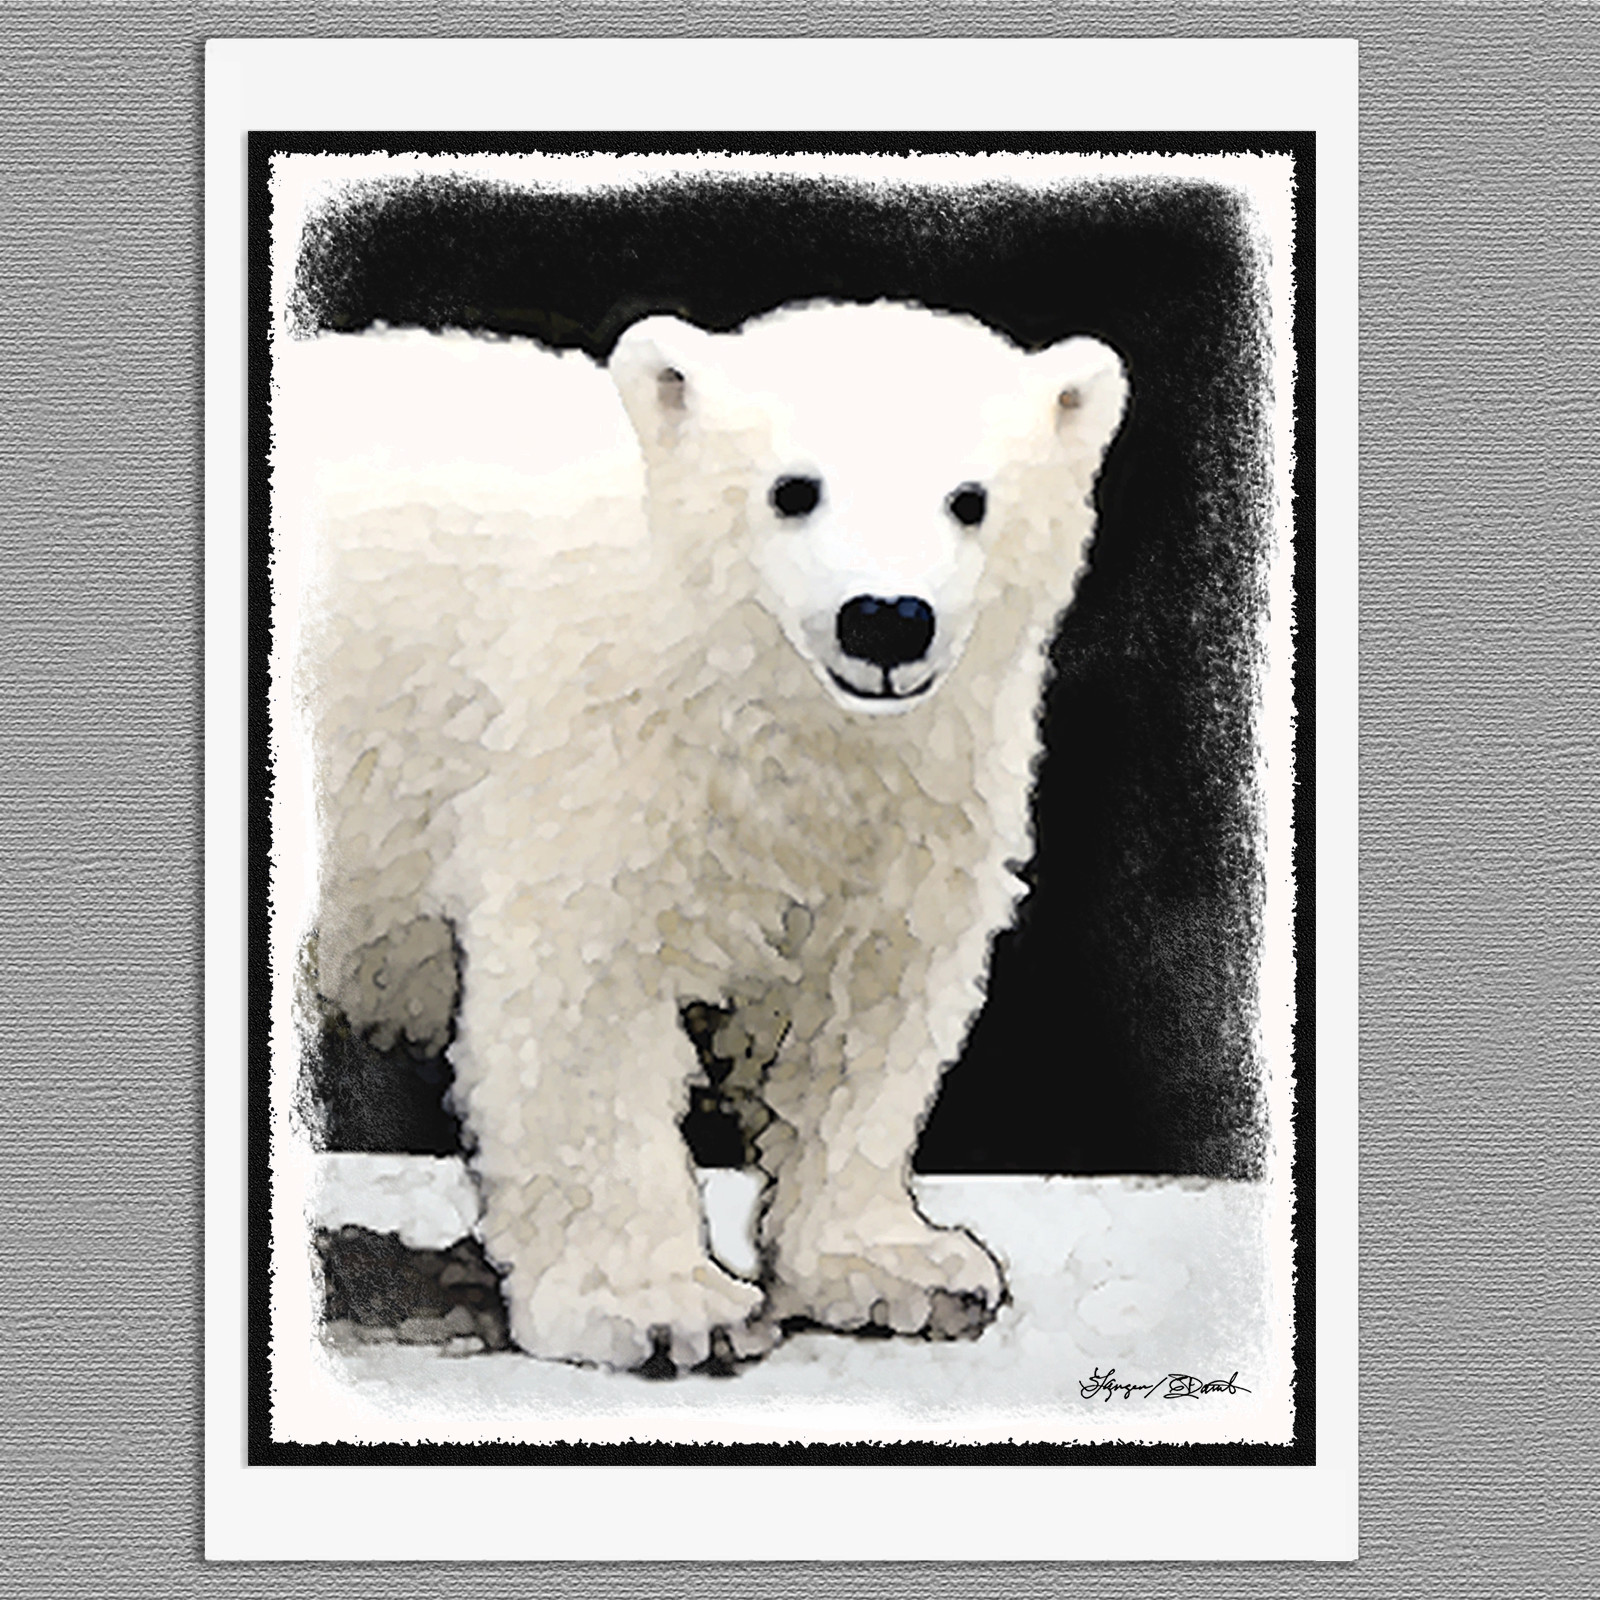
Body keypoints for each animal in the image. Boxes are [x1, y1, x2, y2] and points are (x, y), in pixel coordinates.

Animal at [298, 301, 1129, 1373]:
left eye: (969, 499)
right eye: (794, 489)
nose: (886, 620)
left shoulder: (916, 795)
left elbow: (862, 1010)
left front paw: (904, 1269)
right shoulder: (595, 748)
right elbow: (589, 1001)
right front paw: (662, 1308)